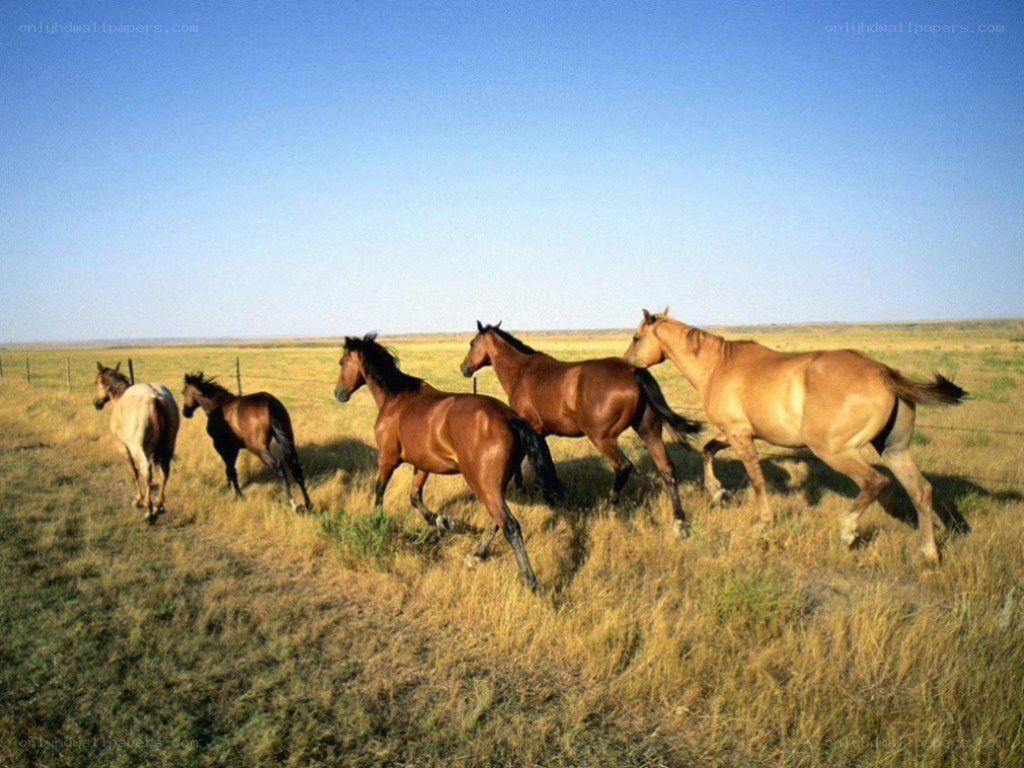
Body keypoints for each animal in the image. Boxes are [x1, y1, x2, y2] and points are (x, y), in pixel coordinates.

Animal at [93, 362, 180, 523]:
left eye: (96, 382)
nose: (96, 402)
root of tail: (155, 397)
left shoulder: (124, 448)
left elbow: (133, 471)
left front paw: (138, 499)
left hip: (138, 449)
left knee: (146, 471)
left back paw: (149, 508)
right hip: (167, 447)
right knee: (164, 471)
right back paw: (159, 504)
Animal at [181, 372, 312, 511]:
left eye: (183, 392)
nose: (185, 413)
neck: (218, 405)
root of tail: (268, 402)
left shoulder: (221, 445)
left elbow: (230, 469)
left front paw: (237, 494)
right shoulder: (234, 448)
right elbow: (230, 469)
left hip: (257, 448)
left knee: (278, 465)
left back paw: (292, 503)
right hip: (287, 439)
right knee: (295, 465)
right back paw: (308, 504)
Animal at [334, 333, 564, 590]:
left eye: (342, 363)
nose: (338, 393)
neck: (395, 400)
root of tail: (509, 417)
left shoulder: (387, 459)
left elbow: (379, 492)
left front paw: (376, 522)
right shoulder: (422, 465)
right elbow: (416, 499)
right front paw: (448, 523)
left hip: (481, 484)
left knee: (509, 525)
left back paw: (529, 580)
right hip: (494, 486)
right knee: (496, 521)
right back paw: (475, 555)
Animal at [459, 321, 702, 537]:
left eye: (472, 343)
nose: (464, 368)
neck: (522, 371)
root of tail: (634, 371)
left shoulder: (530, 429)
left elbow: (537, 465)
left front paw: (536, 491)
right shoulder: (539, 433)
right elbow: (546, 465)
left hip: (602, 438)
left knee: (623, 466)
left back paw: (611, 507)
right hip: (649, 433)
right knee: (667, 469)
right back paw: (679, 523)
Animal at [623, 309, 968, 564]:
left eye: (637, 338)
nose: (626, 365)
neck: (718, 366)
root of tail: (883, 373)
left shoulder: (740, 435)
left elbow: (756, 479)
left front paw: (761, 521)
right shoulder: (731, 433)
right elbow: (708, 451)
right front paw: (718, 492)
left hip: (834, 451)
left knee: (876, 481)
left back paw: (848, 530)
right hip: (893, 450)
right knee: (921, 490)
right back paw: (928, 553)